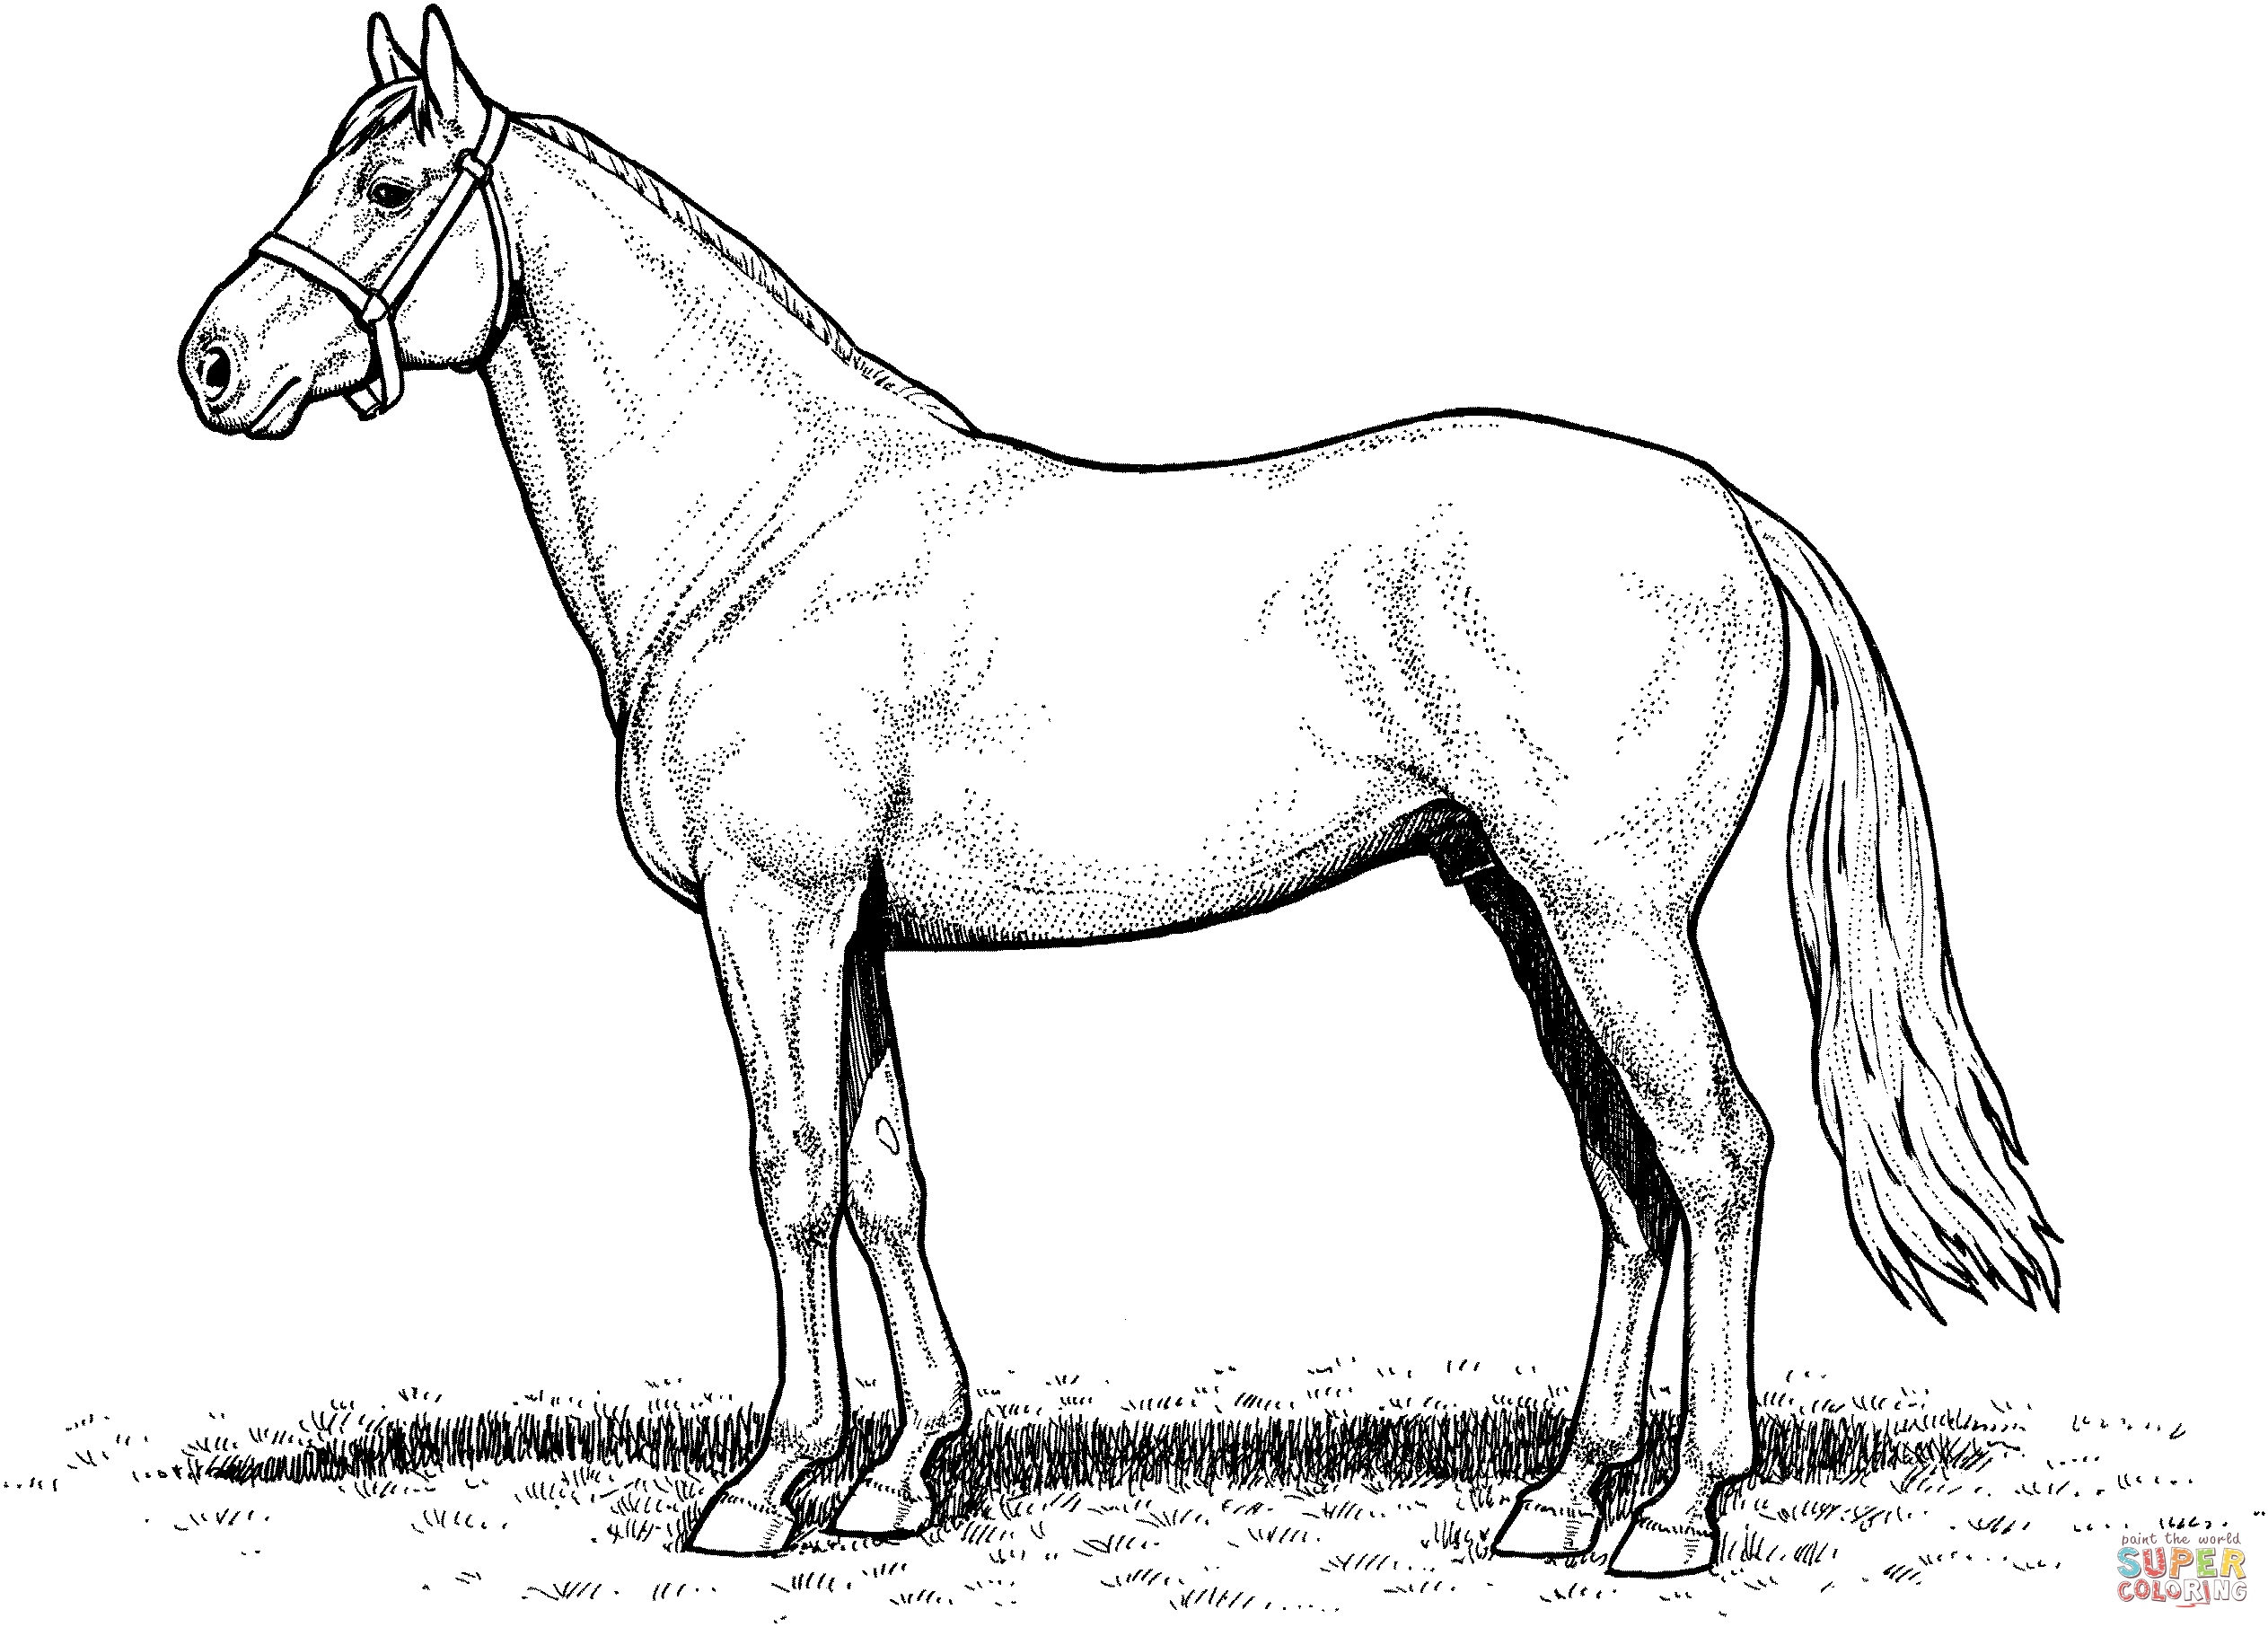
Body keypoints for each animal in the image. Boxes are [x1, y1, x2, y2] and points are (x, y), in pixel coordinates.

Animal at [179, 8, 2058, 1577]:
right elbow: (887, 1177)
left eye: (392, 182)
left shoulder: (773, 908)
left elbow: (791, 1168)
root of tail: (1729, 511)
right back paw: (1562, 1491)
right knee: (1629, 1179)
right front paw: (897, 1474)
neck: (769, 528)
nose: (215, 364)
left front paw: (765, 1484)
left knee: (1718, 1152)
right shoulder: (854, 931)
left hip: (1616, 918)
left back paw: (1679, 1512)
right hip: (1536, 919)